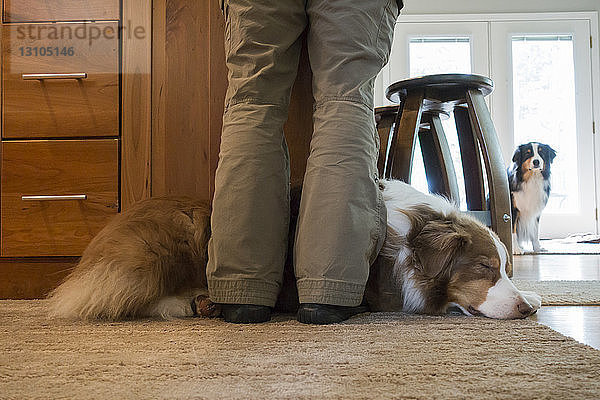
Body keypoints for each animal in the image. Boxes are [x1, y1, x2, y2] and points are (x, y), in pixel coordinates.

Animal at [49, 181, 540, 322]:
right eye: (483, 267)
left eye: (504, 268)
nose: (523, 311)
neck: (412, 238)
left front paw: (534, 296)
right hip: (183, 227)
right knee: (128, 299)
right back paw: (192, 303)